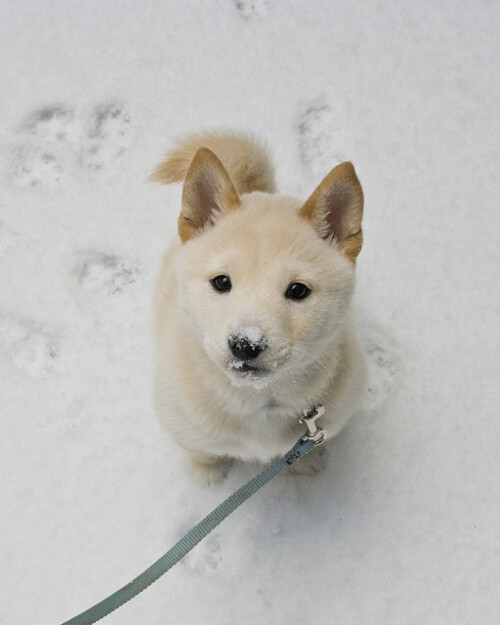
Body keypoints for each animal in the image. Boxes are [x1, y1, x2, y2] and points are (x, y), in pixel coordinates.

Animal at [150, 130, 366, 482]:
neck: (258, 401)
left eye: (298, 290)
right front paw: (208, 473)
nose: (245, 344)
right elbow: (202, 450)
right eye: (221, 282)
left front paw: (306, 462)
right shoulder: (182, 421)